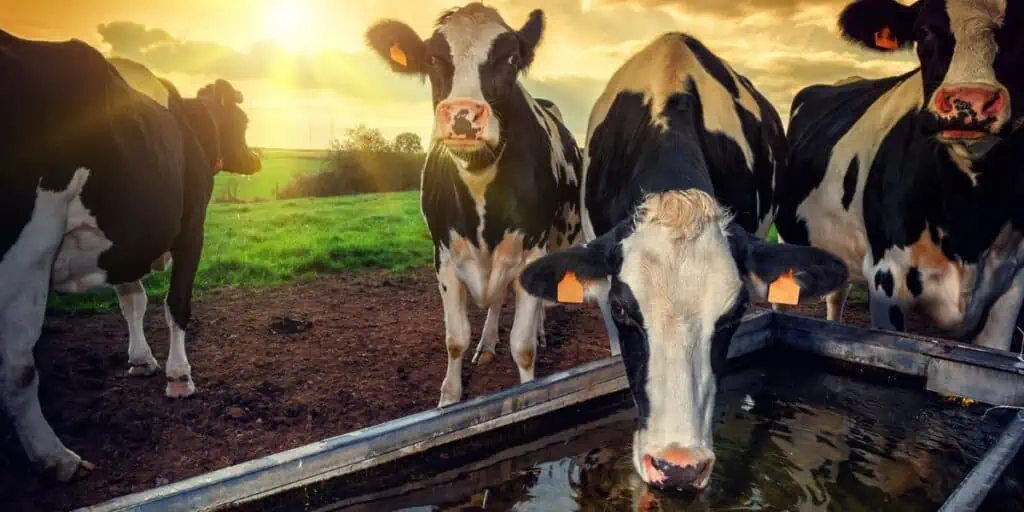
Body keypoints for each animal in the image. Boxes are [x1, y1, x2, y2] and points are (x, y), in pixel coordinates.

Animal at [0, 31, 260, 481]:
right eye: (242, 122)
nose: (258, 158)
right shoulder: (191, 229)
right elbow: (176, 305)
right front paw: (179, 376)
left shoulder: (124, 244)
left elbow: (132, 302)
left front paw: (141, 360)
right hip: (28, 247)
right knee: (18, 366)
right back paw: (58, 457)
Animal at [365, 3, 584, 407]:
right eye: (433, 58)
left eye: (511, 58)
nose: (463, 115)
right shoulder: (444, 256)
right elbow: (455, 339)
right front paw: (449, 397)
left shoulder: (531, 250)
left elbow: (523, 346)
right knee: (495, 303)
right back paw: (487, 343)